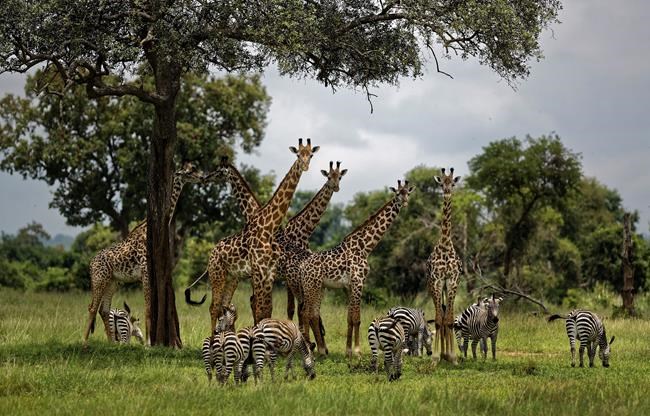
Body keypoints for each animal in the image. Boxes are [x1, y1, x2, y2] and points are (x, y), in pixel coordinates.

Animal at [83, 162, 204, 346]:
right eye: (190, 171)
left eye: (194, 168)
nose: (202, 177)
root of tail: (90, 263)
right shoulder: (145, 272)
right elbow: (147, 309)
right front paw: (148, 344)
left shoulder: (146, 275)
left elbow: (148, 308)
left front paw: (149, 342)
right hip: (99, 278)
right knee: (92, 307)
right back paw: (84, 342)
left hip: (113, 282)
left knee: (104, 309)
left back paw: (111, 343)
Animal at [185, 139, 319, 329]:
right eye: (298, 154)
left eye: (311, 155)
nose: (205, 177)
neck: (265, 223)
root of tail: (212, 253)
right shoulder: (258, 273)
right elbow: (259, 308)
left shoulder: (266, 273)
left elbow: (263, 309)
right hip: (220, 274)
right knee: (215, 307)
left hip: (239, 277)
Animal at [296, 180, 415, 356]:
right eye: (398, 193)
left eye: (408, 193)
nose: (405, 202)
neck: (365, 247)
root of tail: (302, 267)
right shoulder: (359, 281)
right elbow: (357, 318)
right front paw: (357, 351)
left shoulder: (350, 285)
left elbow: (350, 317)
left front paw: (348, 351)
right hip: (311, 286)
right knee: (305, 313)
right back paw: (310, 348)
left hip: (319, 287)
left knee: (313, 314)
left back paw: (321, 350)